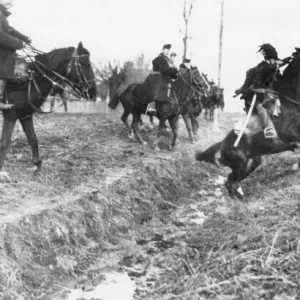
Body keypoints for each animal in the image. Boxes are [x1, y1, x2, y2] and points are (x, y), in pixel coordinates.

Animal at [0, 42, 95, 173]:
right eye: (85, 64)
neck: (31, 78)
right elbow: (4, 142)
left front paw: (37, 163)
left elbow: (33, 139)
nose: (93, 91)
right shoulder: (11, 114)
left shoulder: (25, 114)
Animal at [196, 47, 300, 199]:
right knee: (230, 182)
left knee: (232, 182)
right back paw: (240, 201)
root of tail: (221, 145)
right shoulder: (291, 132)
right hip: (241, 164)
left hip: (251, 163)